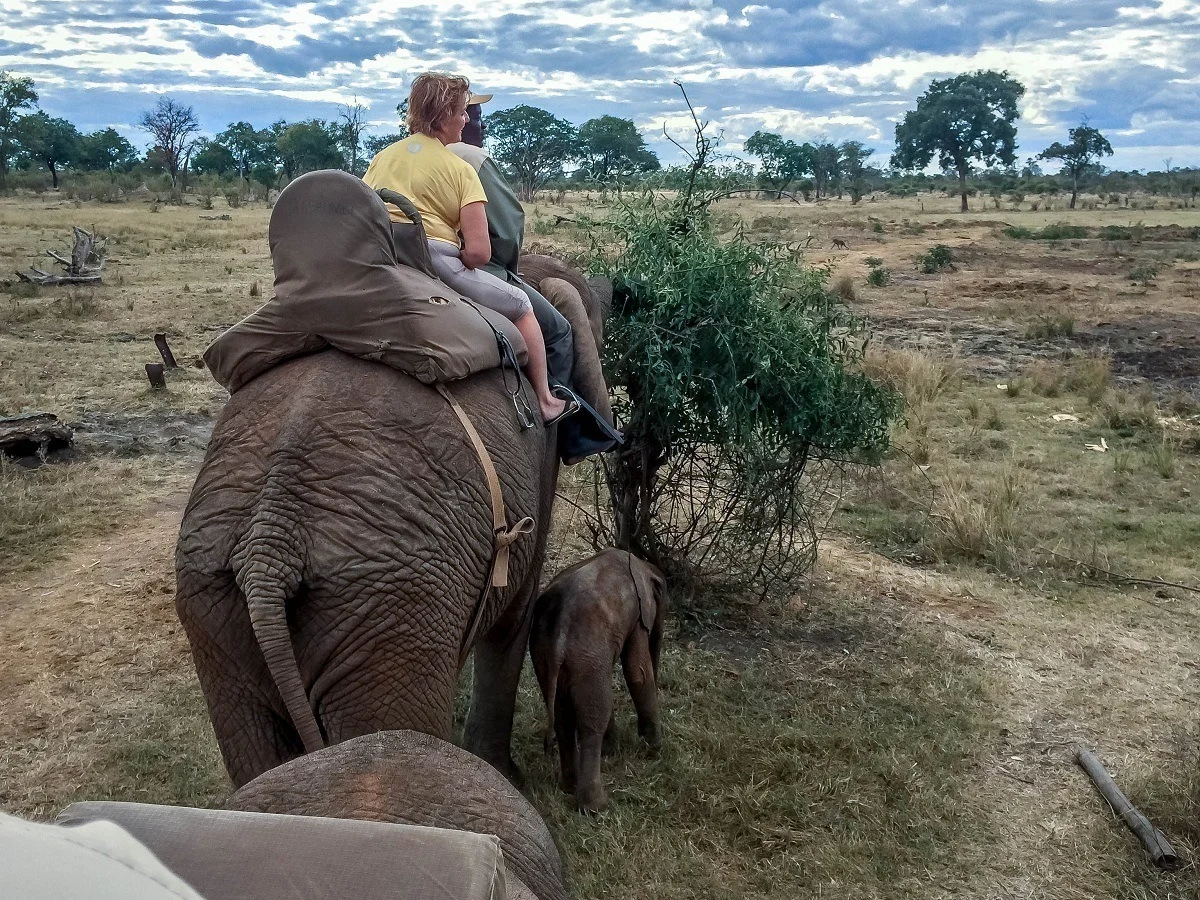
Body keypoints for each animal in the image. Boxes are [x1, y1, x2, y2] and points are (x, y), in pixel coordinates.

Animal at [175, 169, 609, 787]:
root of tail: (268, 548)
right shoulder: (540, 460)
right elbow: (513, 616)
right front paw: (506, 776)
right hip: (393, 601)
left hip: (217, 606)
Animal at [532, 549, 672, 816]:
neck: (643, 565)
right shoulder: (638, 616)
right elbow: (638, 674)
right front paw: (655, 750)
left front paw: (616, 749)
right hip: (587, 655)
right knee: (592, 720)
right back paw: (596, 807)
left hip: (545, 656)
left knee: (564, 717)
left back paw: (569, 786)